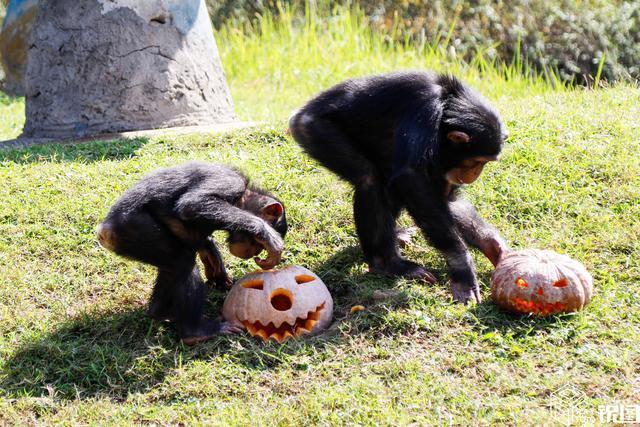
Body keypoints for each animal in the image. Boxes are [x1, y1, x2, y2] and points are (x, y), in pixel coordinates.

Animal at [95, 162, 288, 346]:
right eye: (259, 243)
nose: (255, 252)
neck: (242, 198)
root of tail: (102, 231)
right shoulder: (229, 182)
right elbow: (194, 204)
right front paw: (267, 234)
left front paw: (215, 264)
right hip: (132, 231)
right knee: (183, 262)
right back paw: (195, 332)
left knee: (172, 268)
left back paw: (160, 313)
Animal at [290, 71, 510, 304]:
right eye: (477, 161)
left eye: (484, 162)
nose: (475, 173)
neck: (447, 104)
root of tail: (300, 113)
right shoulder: (424, 106)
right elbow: (410, 178)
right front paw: (462, 266)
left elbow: (445, 197)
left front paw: (494, 246)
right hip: (313, 129)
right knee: (369, 178)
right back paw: (388, 264)